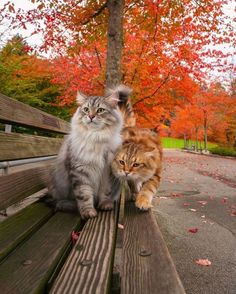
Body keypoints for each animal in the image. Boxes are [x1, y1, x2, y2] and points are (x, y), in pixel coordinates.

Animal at [47, 85, 131, 218]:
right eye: (86, 109)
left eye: (100, 110)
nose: (91, 116)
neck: (95, 137)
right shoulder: (80, 171)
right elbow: (84, 194)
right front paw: (88, 212)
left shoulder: (107, 172)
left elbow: (105, 192)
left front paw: (105, 205)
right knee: (60, 201)